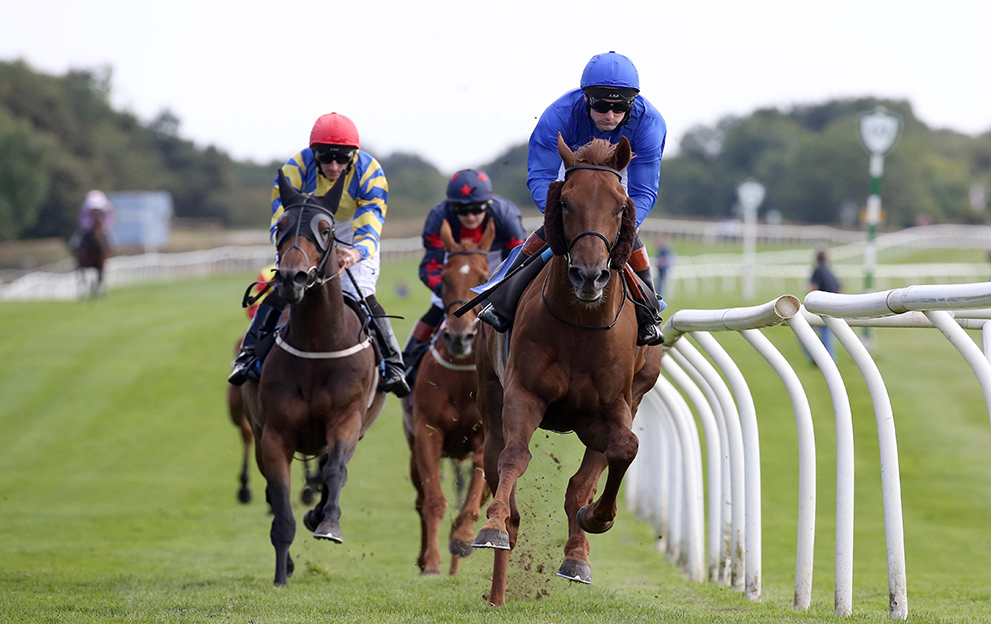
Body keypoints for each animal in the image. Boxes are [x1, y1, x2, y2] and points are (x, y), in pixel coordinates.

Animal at [241, 170, 386, 586]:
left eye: (325, 229)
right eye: (282, 225)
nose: (292, 278)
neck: (319, 344)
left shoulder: (347, 420)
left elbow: (335, 471)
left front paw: (328, 523)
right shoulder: (274, 434)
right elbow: (279, 499)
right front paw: (281, 573)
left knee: (329, 471)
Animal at [402, 217, 495, 576]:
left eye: (484, 277)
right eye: (444, 277)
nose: (459, 337)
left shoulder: (485, 440)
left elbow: (472, 500)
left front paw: (463, 539)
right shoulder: (428, 433)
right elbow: (433, 500)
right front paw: (430, 562)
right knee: (421, 497)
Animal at [471, 135, 664, 606]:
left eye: (620, 206)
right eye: (565, 203)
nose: (589, 275)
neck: (580, 325)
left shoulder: (610, 408)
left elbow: (623, 450)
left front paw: (595, 520)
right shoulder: (523, 393)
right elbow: (515, 457)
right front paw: (493, 525)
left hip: (633, 395)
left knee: (585, 478)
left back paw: (577, 553)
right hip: (490, 394)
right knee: (497, 462)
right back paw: (499, 578)